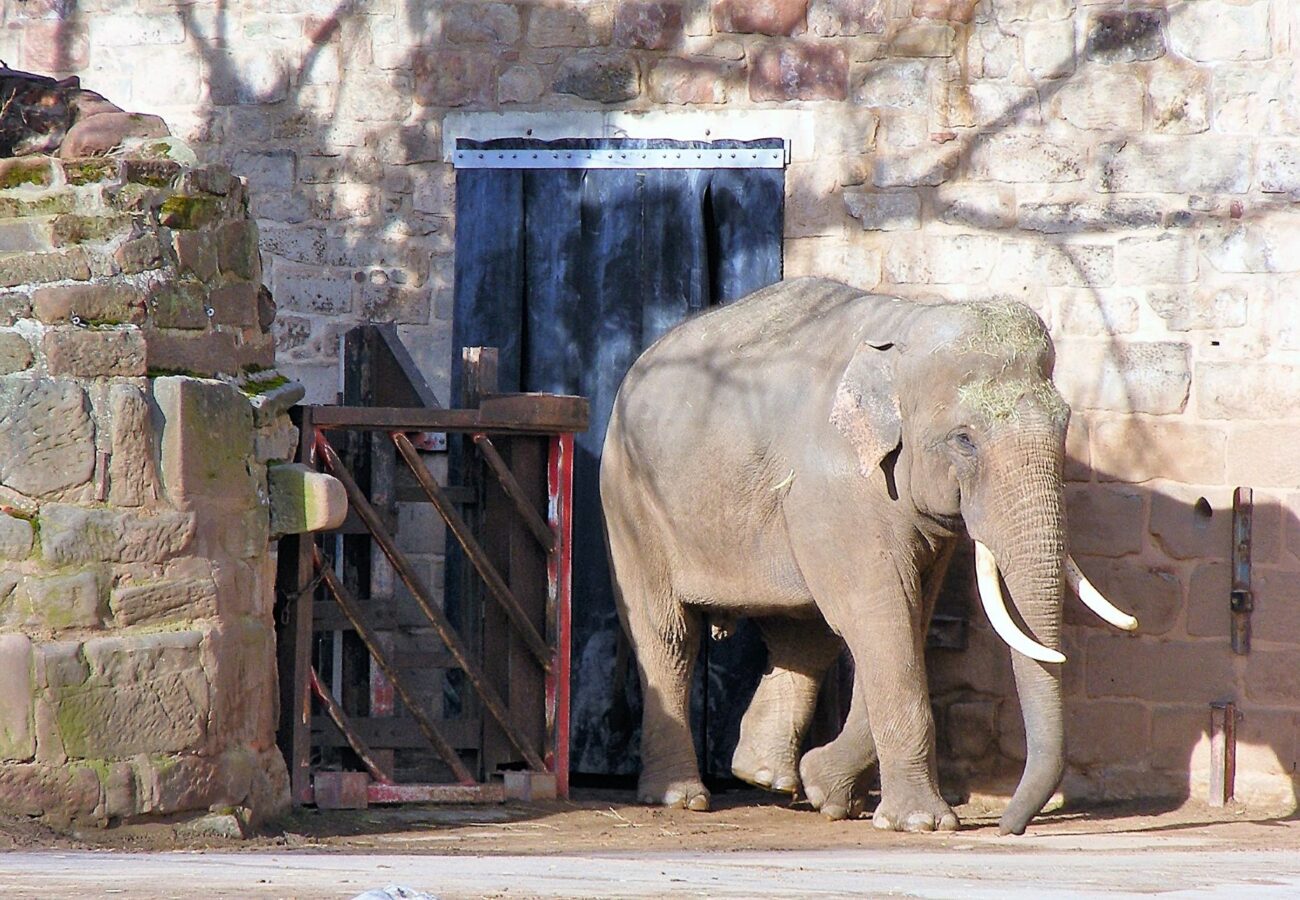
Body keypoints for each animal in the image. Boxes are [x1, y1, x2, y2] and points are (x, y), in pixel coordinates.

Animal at [599, 277, 1137, 835]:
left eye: (1065, 424)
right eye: (964, 440)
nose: (1009, 826)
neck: (906, 334)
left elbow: (908, 619)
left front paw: (830, 794)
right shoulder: (836, 489)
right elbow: (880, 617)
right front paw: (922, 823)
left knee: (803, 634)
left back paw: (770, 779)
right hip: (629, 499)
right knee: (668, 635)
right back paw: (682, 798)